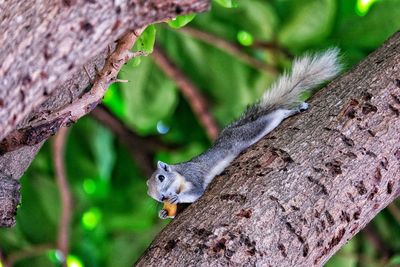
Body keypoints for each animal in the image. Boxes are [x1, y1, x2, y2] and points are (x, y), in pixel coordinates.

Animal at [147, 48, 340, 220]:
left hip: (249, 133)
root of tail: (229, 132)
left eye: (161, 177)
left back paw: (291, 111)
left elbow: (195, 192)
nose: (162, 198)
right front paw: (163, 213)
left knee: (273, 116)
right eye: (149, 193)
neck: (178, 177)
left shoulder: (192, 175)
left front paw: (178, 198)